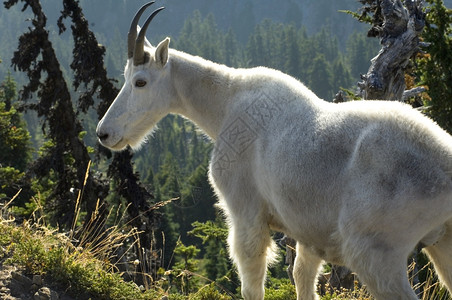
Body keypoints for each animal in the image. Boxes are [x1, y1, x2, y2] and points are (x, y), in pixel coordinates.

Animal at [98, 3, 452, 298]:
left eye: (140, 81)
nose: (105, 133)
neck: (225, 105)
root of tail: (445, 167)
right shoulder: (308, 232)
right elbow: (302, 278)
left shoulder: (245, 210)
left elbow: (252, 283)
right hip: (443, 242)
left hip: (376, 252)